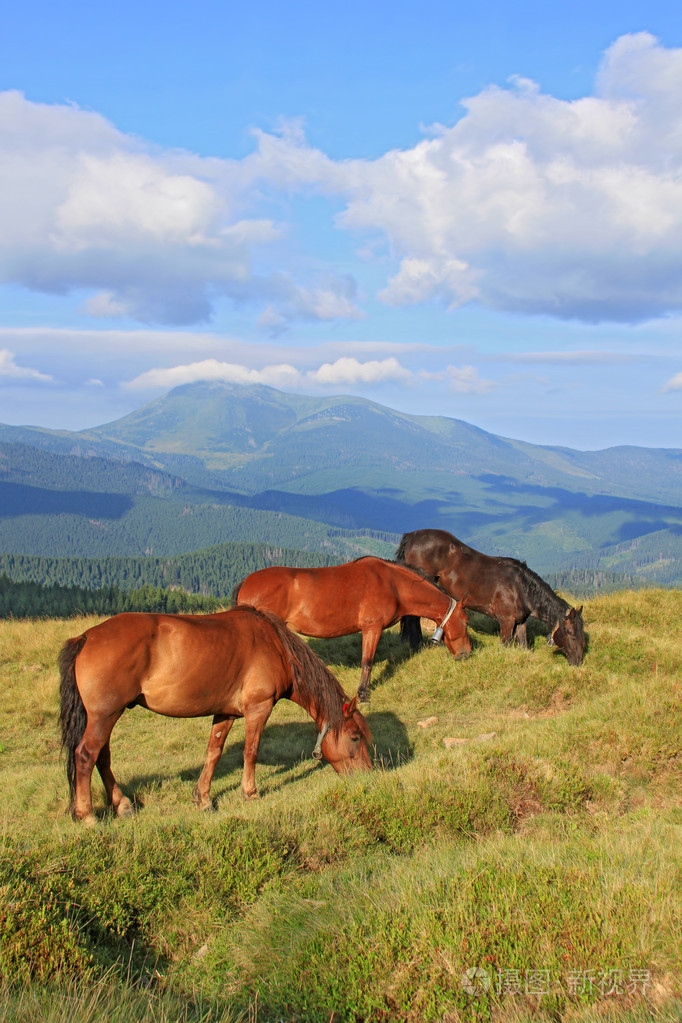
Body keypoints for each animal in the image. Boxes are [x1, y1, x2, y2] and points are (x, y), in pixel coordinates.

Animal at [58, 605, 371, 824]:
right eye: (355, 737)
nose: (368, 775)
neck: (276, 648)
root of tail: (86, 637)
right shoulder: (259, 708)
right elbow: (250, 751)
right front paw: (250, 792)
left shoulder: (225, 713)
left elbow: (214, 752)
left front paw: (203, 798)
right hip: (105, 716)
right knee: (86, 755)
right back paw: (87, 815)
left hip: (105, 717)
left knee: (102, 758)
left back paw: (122, 805)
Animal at [232, 556, 471, 702]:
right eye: (466, 621)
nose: (466, 654)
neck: (393, 584)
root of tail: (246, 582)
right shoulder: (372, 627)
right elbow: (367, 661)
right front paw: (363, 694)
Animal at [396, 528, 586, 666]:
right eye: (570, 632)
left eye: (581, 631)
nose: (578, 661)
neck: (521, 588)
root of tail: (412, 536)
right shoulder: (506, 621)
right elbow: (506, 645)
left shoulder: (520, 621)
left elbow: (523, 644)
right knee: (413, 618)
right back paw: (416, 644)